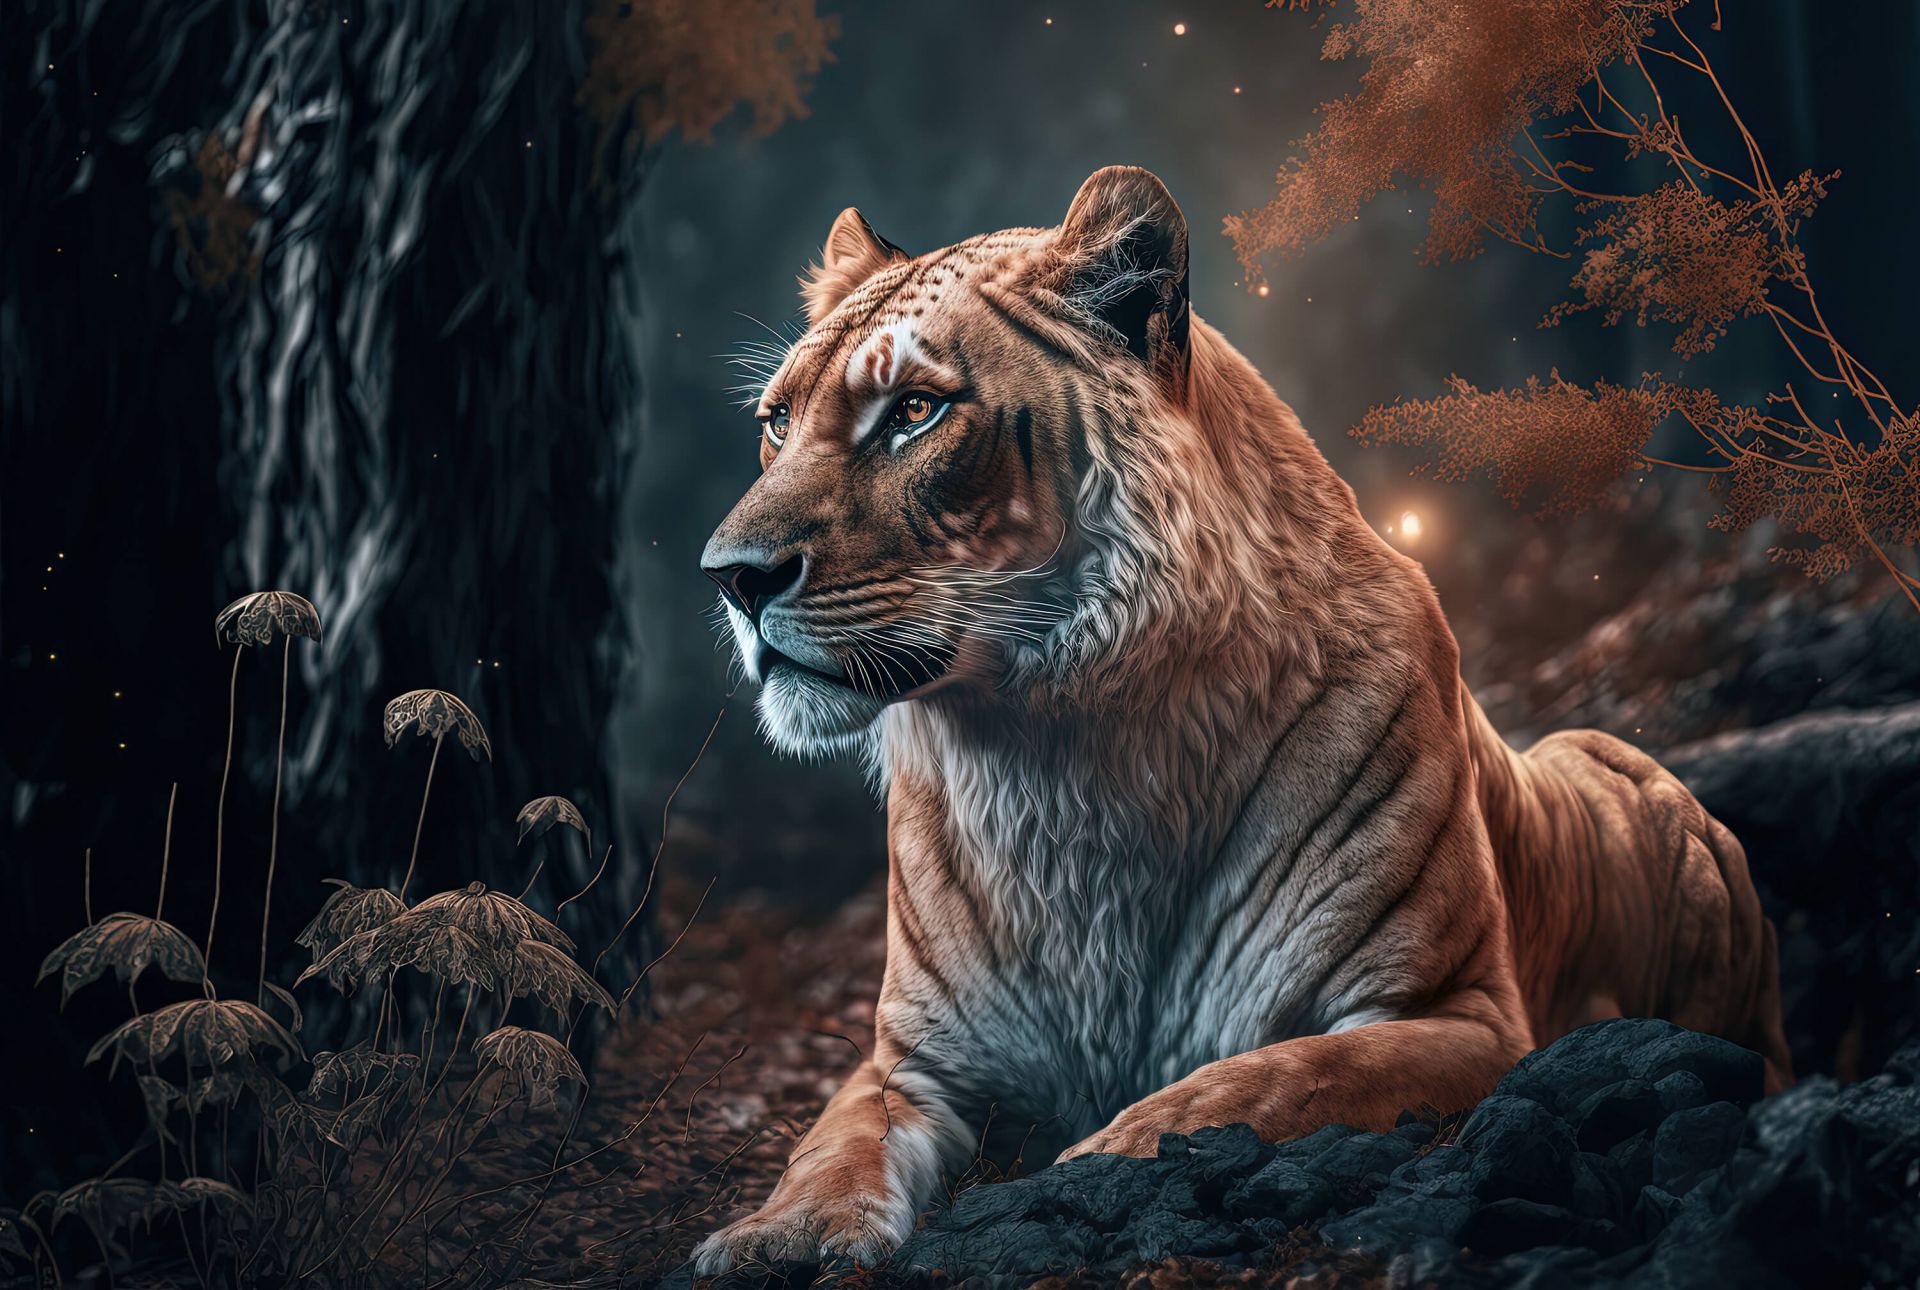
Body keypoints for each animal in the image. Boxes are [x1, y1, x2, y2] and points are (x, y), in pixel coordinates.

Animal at [690, 166, 1791, 1274]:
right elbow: (835, 1143)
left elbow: (1268, 1080)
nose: (732, 578)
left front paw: (1094, 1159)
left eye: (915, 410)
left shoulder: (1461, 1016)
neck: (1056, 749)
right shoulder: (915, 1056)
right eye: (777, 421)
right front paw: (780, 1237)